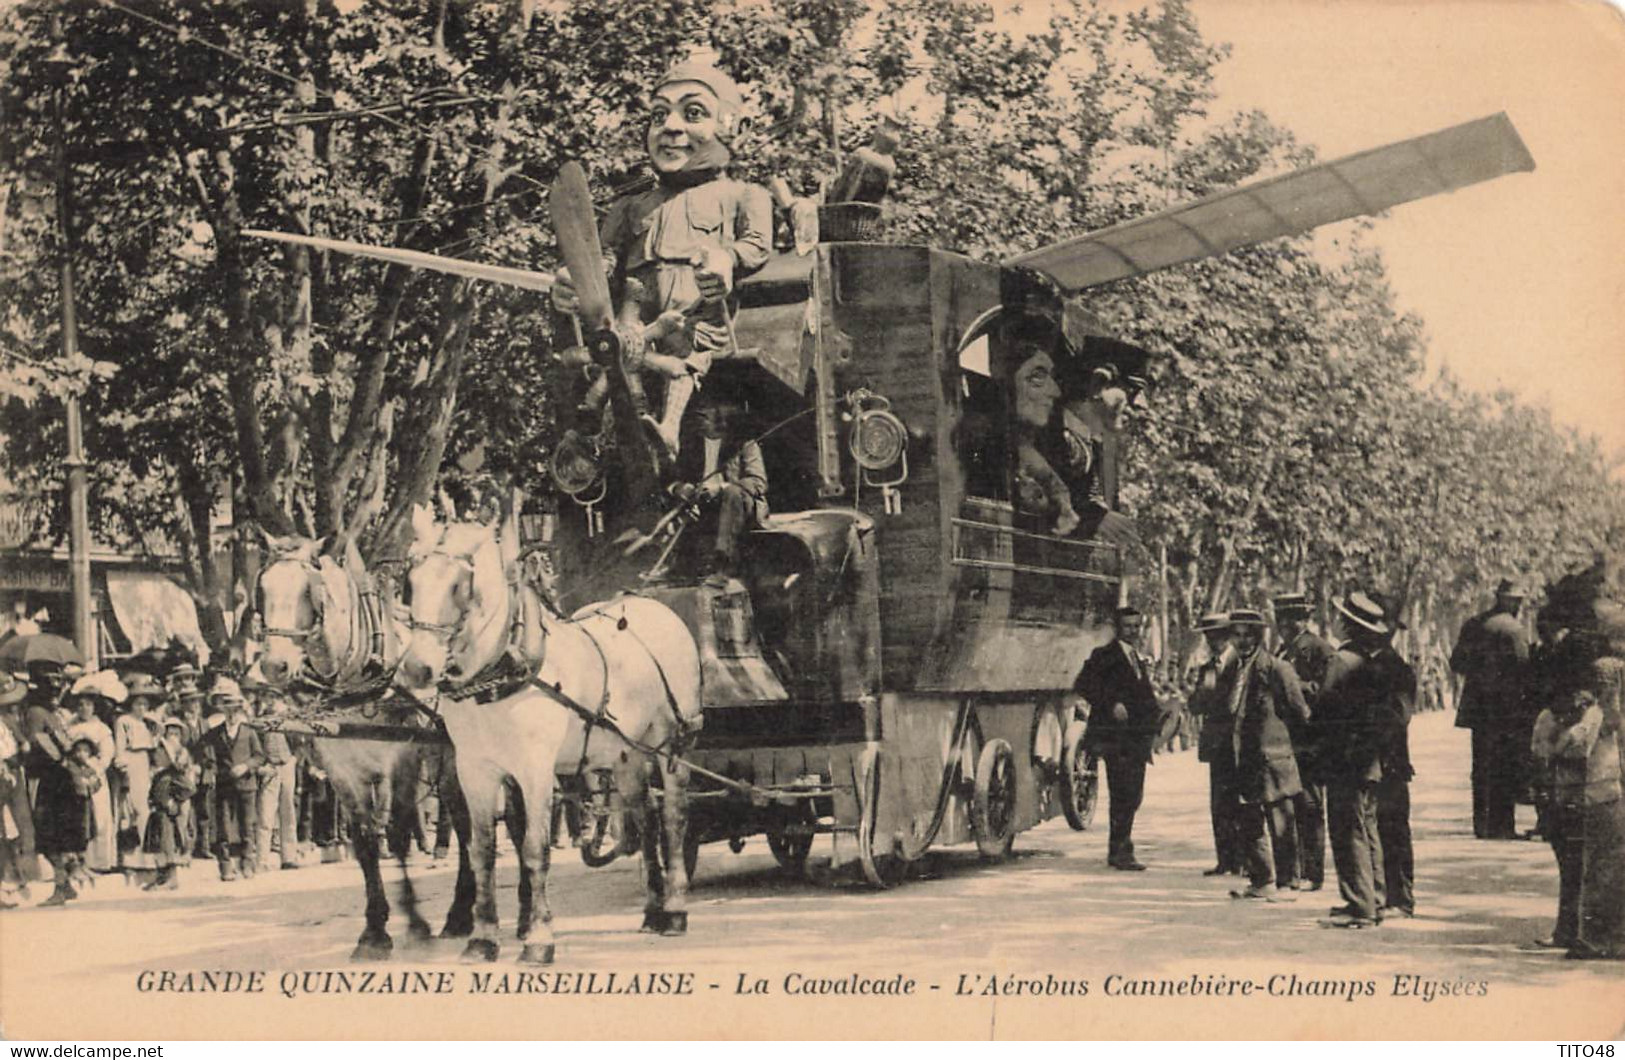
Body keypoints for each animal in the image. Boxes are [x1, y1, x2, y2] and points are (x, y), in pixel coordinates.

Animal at [253, 533, 477, 955]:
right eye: (262, 589)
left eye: (308, 591)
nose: (275, 665)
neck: (357, 674)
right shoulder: (342, 771)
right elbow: (365, 841)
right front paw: (374, 929)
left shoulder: (402, 759)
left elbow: (399, 833)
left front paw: (416, 921)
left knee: (465, 821)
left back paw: (461, 912)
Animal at [399, 500, 705, 962]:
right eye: (410, 581)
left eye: (458, 585)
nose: (418, 669)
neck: (500, 675)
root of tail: (657, 608)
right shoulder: (474, 771)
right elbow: (482, 851)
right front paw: (482, 937)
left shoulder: (535, 772)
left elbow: (533, 849)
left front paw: (539, 938)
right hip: (626, 756)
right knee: (644, 817)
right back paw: (653, 909)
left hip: (672, 747)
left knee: (672, 819)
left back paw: (675, 909)